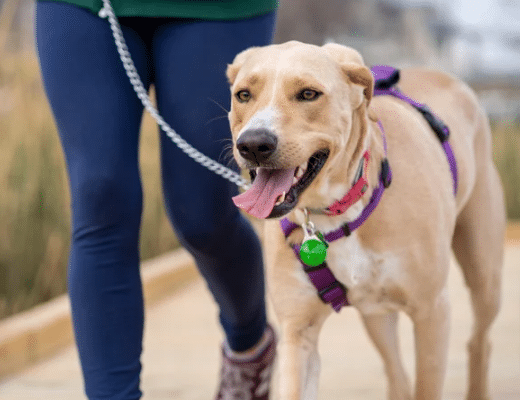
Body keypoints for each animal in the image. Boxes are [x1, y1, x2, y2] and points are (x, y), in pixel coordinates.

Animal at [225, 41, 506, 400]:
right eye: (243, 95)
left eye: (308, 94)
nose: (253, 144)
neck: (334, 212)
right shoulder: (298, 331)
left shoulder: (432, 312)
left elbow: (427, 386)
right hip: (376, 314)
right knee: (396, 371)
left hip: (485, 277)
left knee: (479, 341)